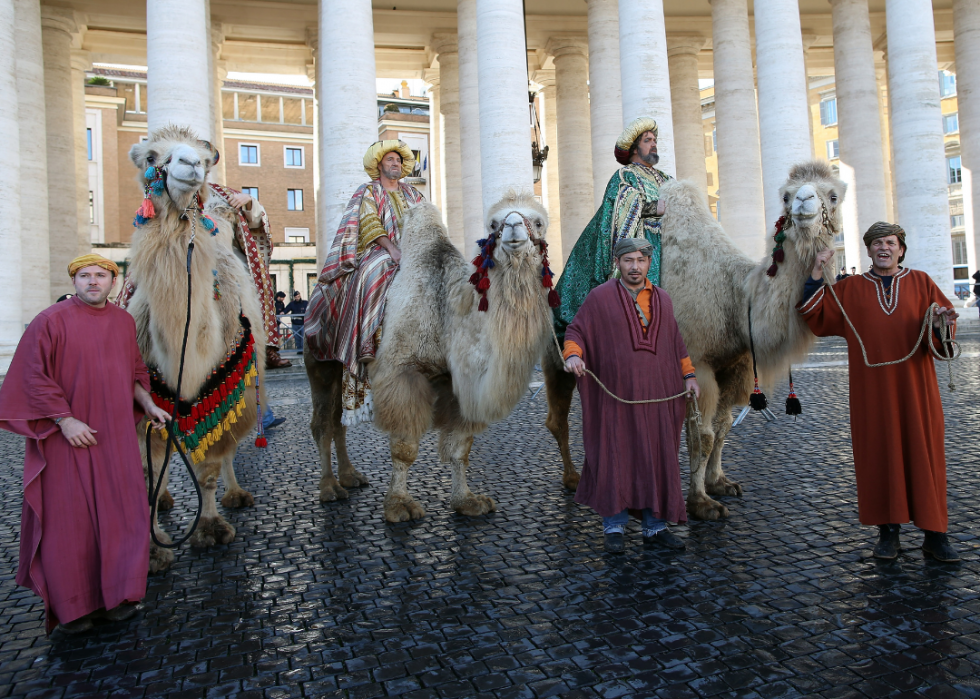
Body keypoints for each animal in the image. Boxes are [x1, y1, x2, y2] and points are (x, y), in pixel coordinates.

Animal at [126, 127, 266, 576]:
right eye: (152, 157)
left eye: (205, 160)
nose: (189, 166)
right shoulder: (146, 404)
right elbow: (147, 474)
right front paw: (153, 552)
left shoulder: (227, 389)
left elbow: (208, 469)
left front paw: (210, 528)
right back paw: (169, 499)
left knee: (229, 448)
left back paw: (236, 494)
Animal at [302, 191, 556, 520]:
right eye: (493, 224)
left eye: (538, 222)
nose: (513, 227)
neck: (449, 315)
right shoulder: (402, 372)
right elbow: (405, 447)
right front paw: (399, 506)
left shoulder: (459, 381)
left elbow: (461, 447)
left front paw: (467, 501)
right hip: (320, 362)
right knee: (322, 423)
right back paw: (329, 488)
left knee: (338, 422)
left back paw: (350, 477)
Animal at [540, 159, 848, 520]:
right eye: (785, 196)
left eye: (833, 194)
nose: (803, 202)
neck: (735, 297)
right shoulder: (695, 363)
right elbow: (703, 434)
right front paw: (701, 502)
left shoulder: (734, 366)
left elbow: (724, 426)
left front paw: (720, 483)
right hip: (558, 356)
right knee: (558, 418)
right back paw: (574, 479)